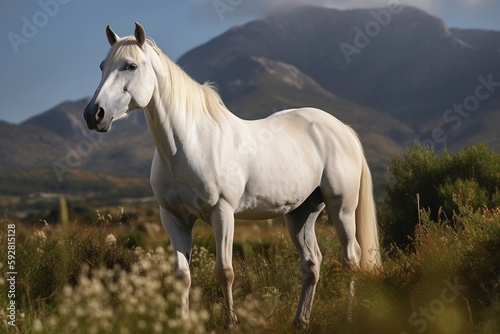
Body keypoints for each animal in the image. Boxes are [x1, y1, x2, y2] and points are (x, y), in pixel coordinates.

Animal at [84, 24, 380, 328]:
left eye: (131, 65)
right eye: (102, 66)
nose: (94, 114)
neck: (188, 144)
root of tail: (342, 128)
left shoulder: (222, 212)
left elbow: (224, 271)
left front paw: (231, 323)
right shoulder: (173, 217)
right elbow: (182, 276)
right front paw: (184, 322)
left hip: (341, 208)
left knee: (351, 258)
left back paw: (348, 318)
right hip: (301, 213)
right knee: (312, 263)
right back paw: (300, 321)